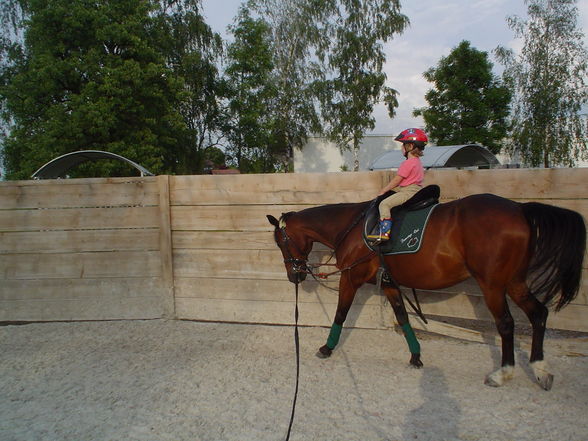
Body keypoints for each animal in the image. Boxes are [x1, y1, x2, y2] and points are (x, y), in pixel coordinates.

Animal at [268, 192, 584, 388]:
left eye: (281, 242)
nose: (294, 275)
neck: (353, 227)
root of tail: (519, 209)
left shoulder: (351, 279)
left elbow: (341, 315)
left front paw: (327, 347)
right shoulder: (390, 283)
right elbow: (403, 317)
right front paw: (416, 356)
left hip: (493, 285)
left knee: (506, 323)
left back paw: (502, 373)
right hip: (515, 282)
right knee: (538, 314)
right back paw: (541, 370)